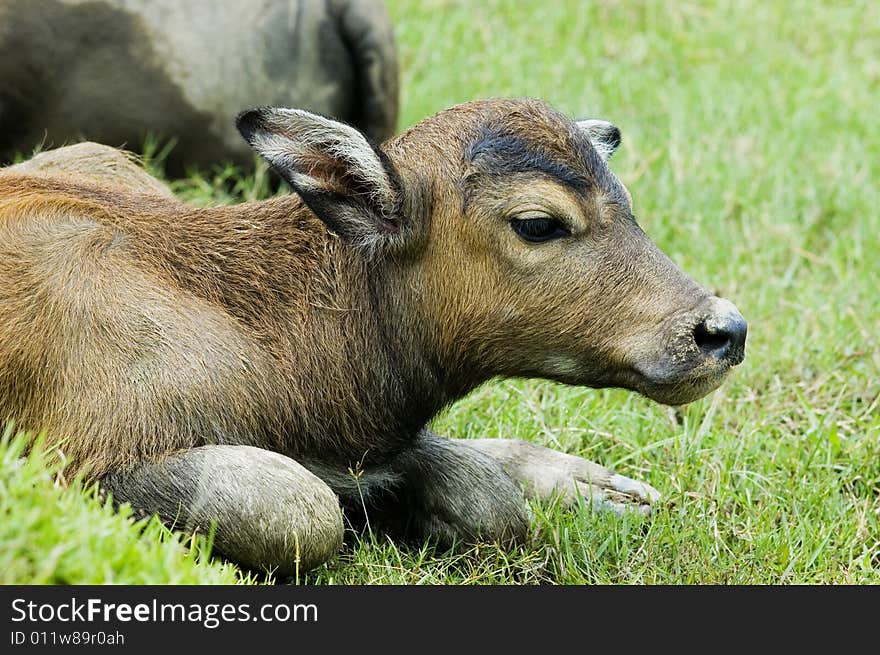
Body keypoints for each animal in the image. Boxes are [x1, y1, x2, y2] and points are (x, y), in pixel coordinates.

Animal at [0, 97, 748, 576]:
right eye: (538, 223)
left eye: (626, 201)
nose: (723, 331)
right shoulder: (80, 455)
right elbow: (302, 510)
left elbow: (484, 498)